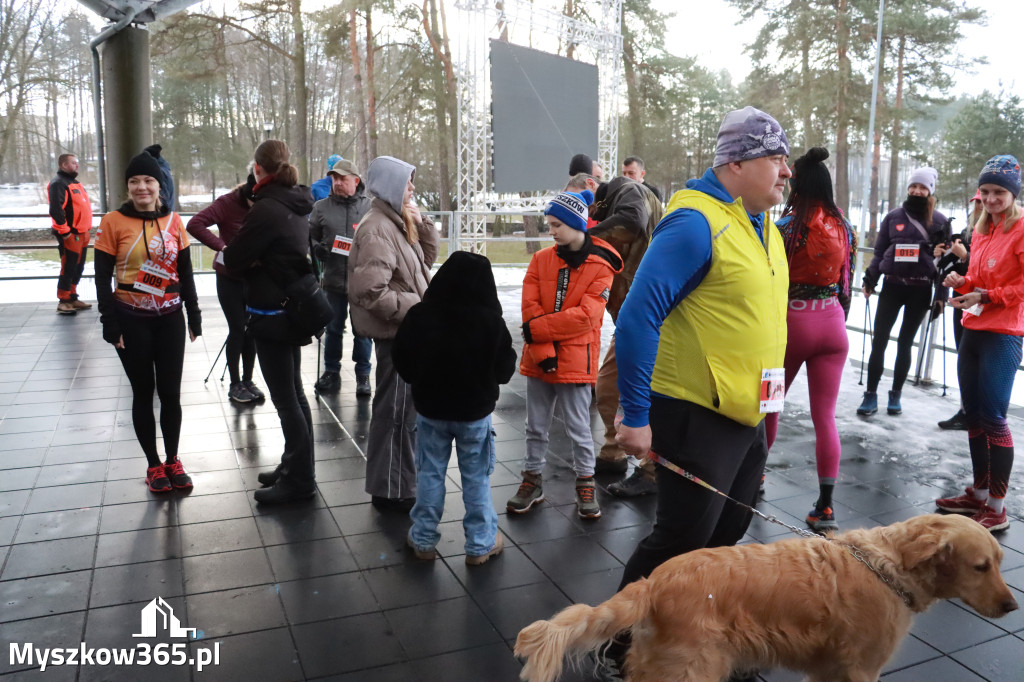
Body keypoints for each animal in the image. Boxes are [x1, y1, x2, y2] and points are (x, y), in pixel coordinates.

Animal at [516, 512, 1019, 675]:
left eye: (999, 561)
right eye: (981, 566)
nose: (1013, 606)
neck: (888, 565)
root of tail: (653, 581)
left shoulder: (831, 672)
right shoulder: (861, 669)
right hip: (692, 670)